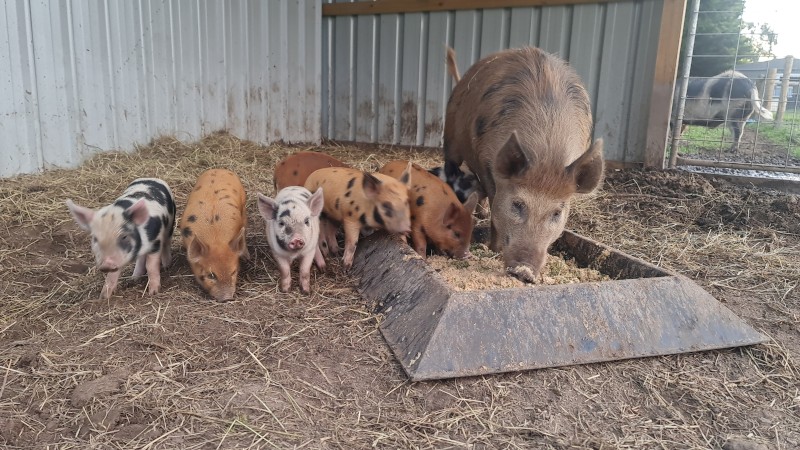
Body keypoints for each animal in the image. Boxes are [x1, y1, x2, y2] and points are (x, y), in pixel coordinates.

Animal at [443, 46, 604, 282]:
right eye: (517, 204)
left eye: (557, 213)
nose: (524, 271)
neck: (546, 154)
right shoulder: (486, 162)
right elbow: (494, 200)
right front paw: (494, 249)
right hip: (450, 136)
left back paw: (481, 214)